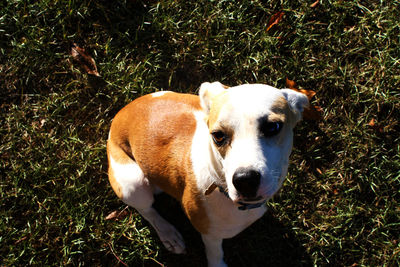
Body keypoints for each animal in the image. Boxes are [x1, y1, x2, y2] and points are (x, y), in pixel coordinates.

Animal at [107, 82, 310, 266]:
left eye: (273, 127)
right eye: (218, 136)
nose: (245, 180)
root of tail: (120, 114)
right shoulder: (209, 234)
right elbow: (214, 252)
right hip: (133, 183)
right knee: (147, 210)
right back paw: (168, 233)